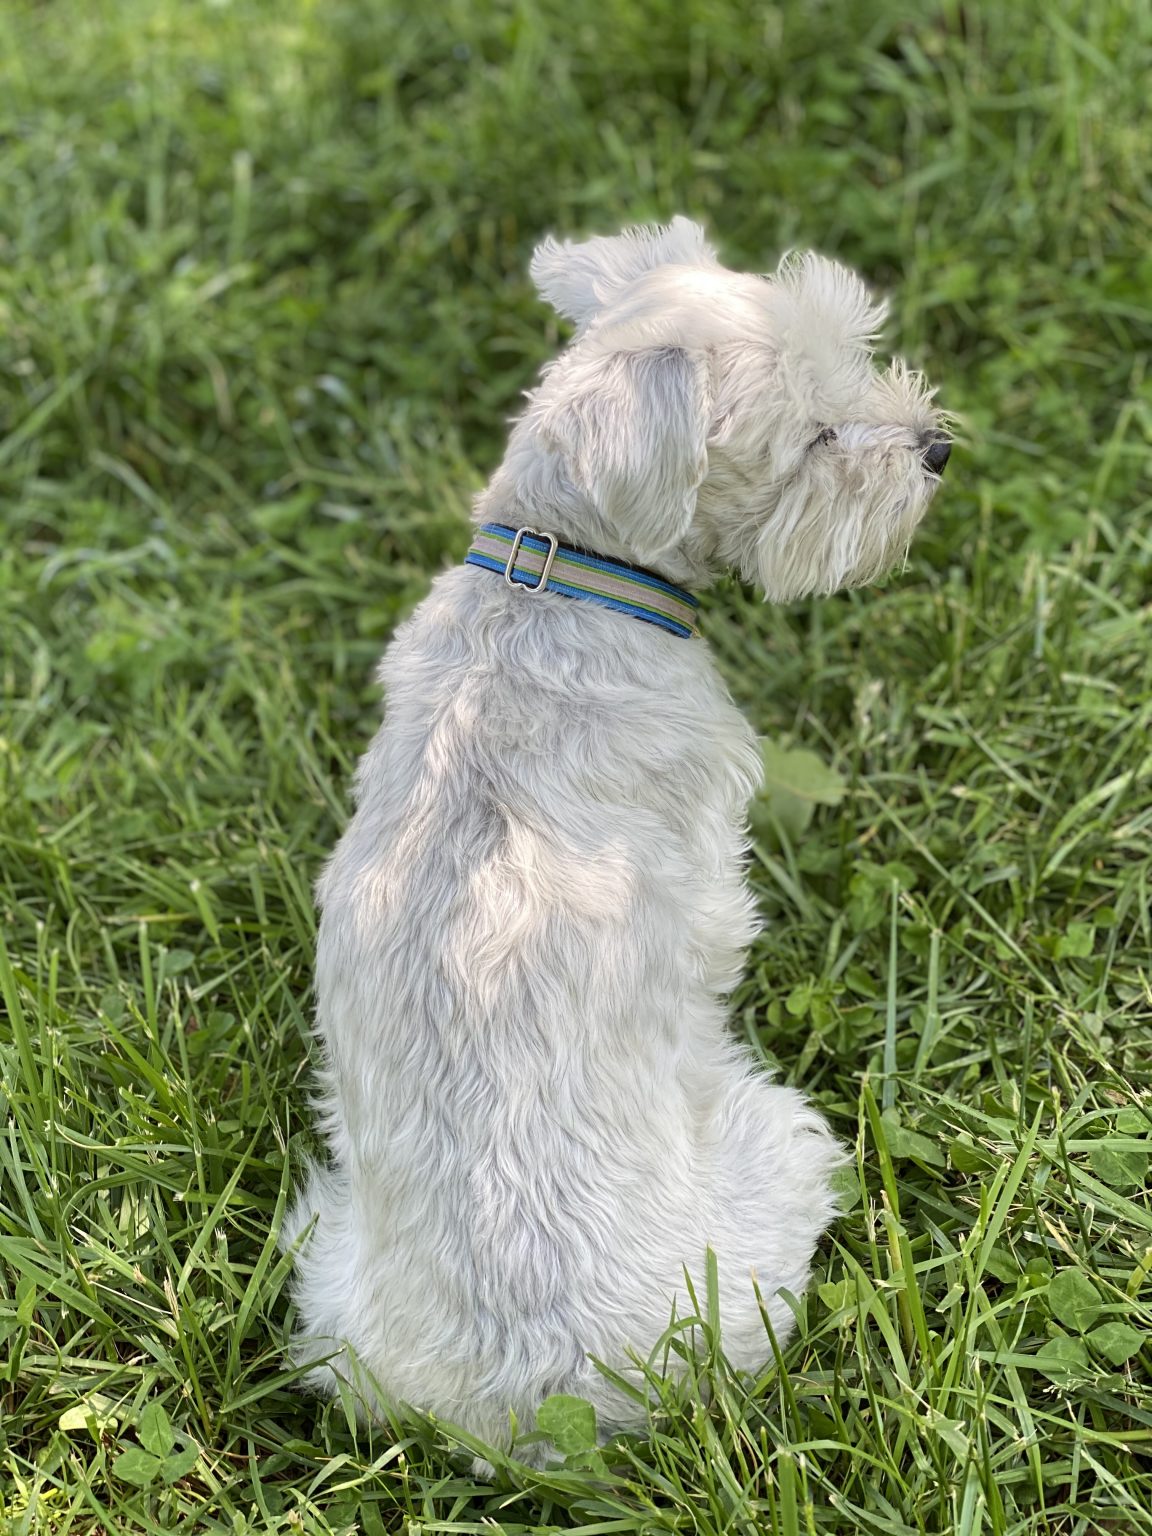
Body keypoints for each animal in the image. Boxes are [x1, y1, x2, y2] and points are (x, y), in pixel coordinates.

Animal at [282, 217, 948, 1458]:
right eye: (817, 433)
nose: (934, 447)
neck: (559, 577)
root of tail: (534, 1407)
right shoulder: (710, 872)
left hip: (321, 1251)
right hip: (782, 1161)